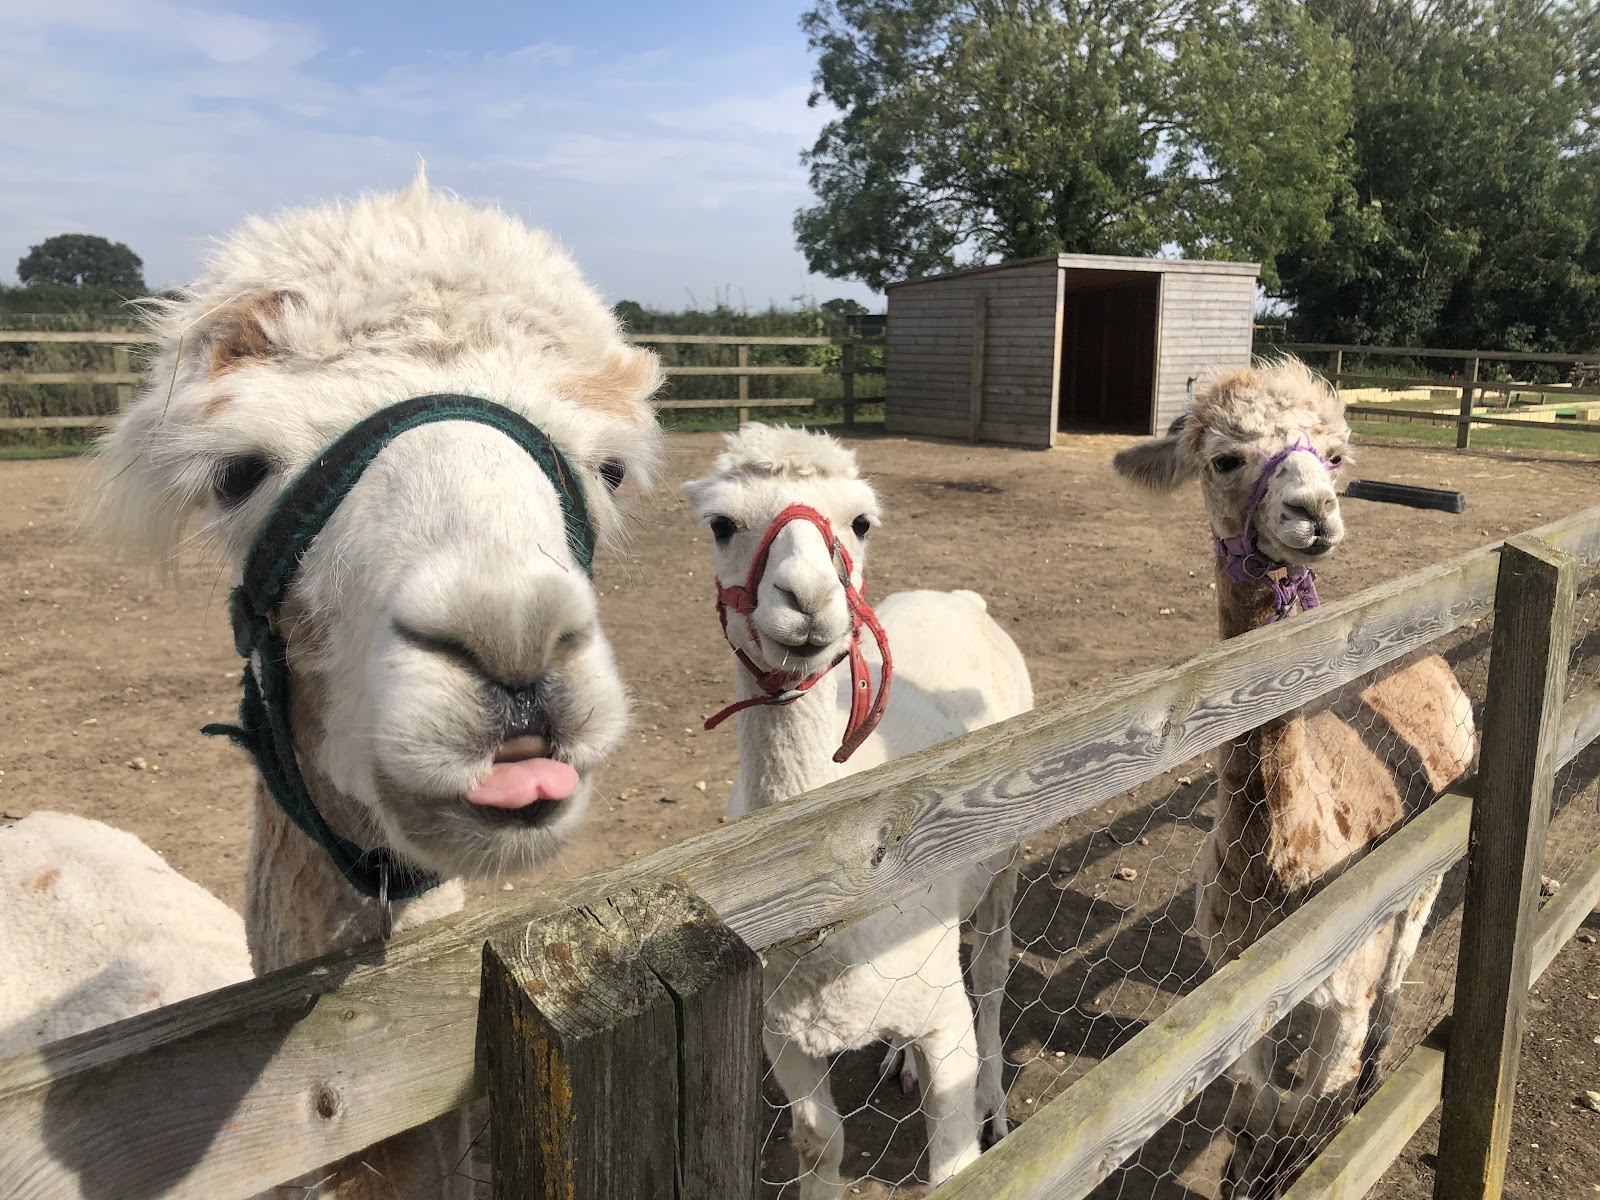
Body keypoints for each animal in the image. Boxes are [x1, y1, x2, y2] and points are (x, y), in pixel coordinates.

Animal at [684, 424, 1033, 1197]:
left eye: (861, 521)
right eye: (721, 524)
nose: (808, 597)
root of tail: (960, 597)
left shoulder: (946, 1024)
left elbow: (955, 1164)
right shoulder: (781, 1030)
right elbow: (819, 1143)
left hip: (1006, 858)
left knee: (993, 975)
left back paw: (996, 1103)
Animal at [1113, 358, 1476, 1198]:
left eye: (1336, 455)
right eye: (1225, 458)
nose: (1314, 511)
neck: (1284, 864)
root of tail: (1433, 662)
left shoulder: (1344, 989)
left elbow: (1306, 1115)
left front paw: (1320, 1155)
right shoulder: (1237, 982)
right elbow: (1254, 1110)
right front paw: (1241, 1175)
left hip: (1424, 885)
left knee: (1394, 993)